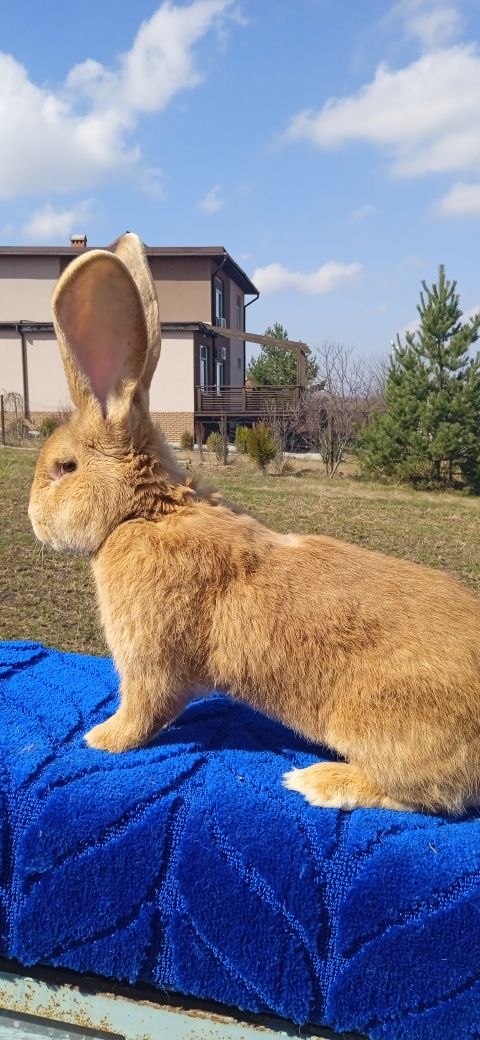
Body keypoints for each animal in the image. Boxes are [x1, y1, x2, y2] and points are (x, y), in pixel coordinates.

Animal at [29, 233, 480, 811]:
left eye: (65, 468)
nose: (32, 518)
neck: (143, 512)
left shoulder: (148, 660)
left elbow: (143, 709)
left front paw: (101, 739)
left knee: (423, 793)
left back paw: (318, 781)